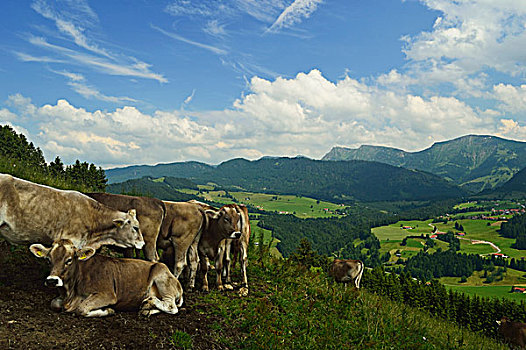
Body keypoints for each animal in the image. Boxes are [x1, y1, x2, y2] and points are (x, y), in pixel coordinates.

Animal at [31, 241, 185, 318]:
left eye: (69, 260)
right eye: (48, 259)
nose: (52, 280)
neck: (70, 293)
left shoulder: (107, 294)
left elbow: (81, 309)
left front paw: (108, 310)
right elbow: (54, 304)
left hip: (161, 274)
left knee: (171, 306)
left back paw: (149, 302)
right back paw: (146, 308)